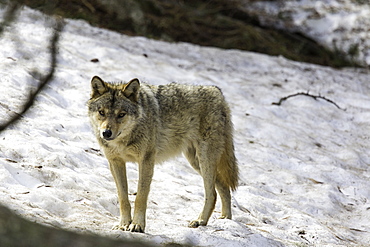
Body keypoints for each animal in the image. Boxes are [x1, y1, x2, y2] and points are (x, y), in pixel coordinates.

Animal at [88, 75, 238, 233]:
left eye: (121, 115)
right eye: (101, 112)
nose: (106, 133)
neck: (123, 141)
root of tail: (217, 91)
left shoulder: (146, 160)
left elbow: (140, 196)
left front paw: (137, 225)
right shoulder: (115, 162)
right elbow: (123, 197)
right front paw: (123, 224)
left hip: (205, 159)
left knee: (212, 193)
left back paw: (200, 221)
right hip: (196, 162)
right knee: (223, 187)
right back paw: (226, 219)